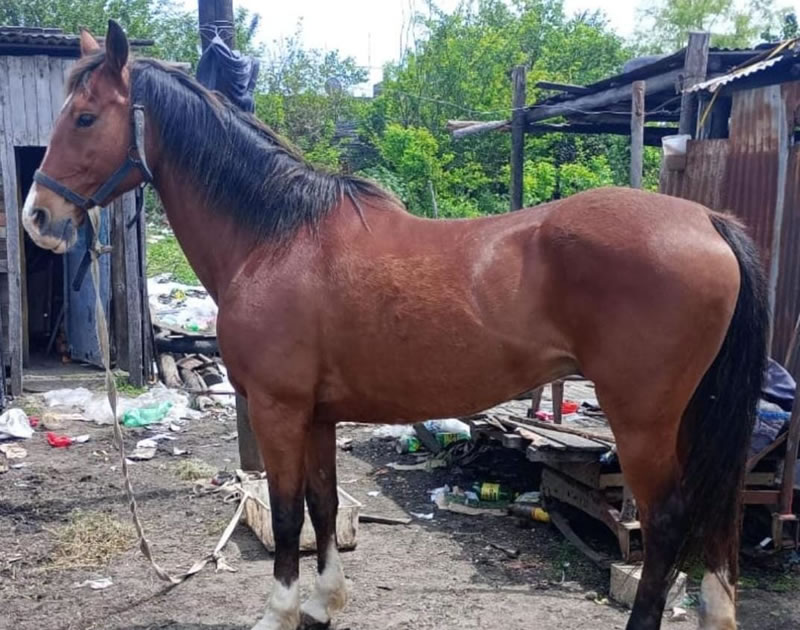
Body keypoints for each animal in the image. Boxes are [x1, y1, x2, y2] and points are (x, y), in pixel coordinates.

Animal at [22, 20, 767, 630]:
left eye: (84, 117)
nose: (38, 218)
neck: (276, 238)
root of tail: (709, 222)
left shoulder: (277, 409)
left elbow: (287, 511)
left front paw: (280, 610)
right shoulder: (318, 415)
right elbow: (322, 505)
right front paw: (324, 603)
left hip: (642, 419)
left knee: (669, 521)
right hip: (696, 414)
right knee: (721, 510)